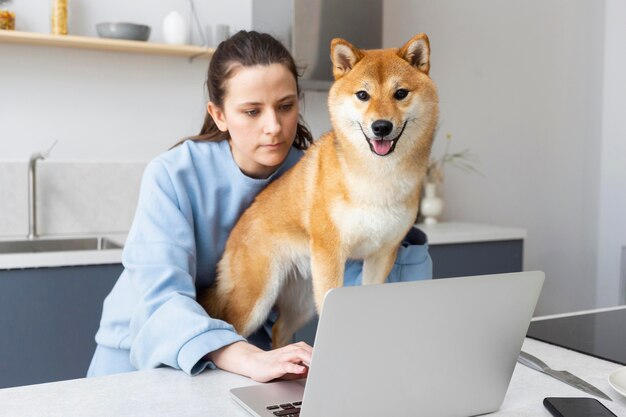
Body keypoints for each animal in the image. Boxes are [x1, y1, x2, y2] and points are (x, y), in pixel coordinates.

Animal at [200, 32, 438, 346]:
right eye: (363, 95)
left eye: (401, 93)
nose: (381, 126)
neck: (376, 178)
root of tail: (236, 230)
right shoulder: (331, 253)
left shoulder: (382, 254)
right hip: (255, 299)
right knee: (231, 328)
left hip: (302, 299)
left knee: (279, 329)